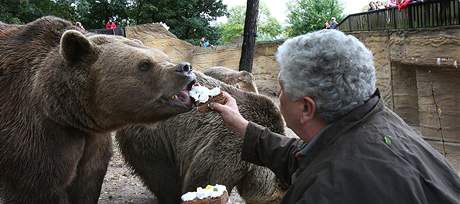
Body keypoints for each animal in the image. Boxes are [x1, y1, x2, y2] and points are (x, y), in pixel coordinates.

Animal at [0, 16, 196, 204]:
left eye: (164, 56)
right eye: (145, 64)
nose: (186, 68)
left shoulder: (92, 143)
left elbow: (87, 184)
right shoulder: (35, 135)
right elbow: (38, 187)